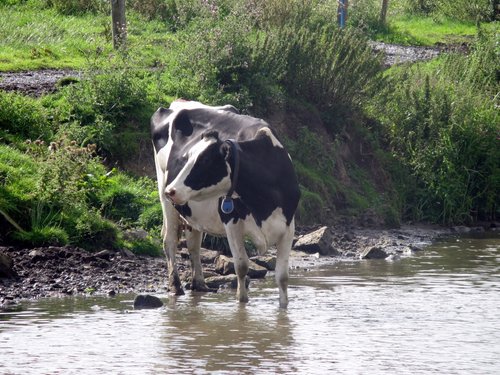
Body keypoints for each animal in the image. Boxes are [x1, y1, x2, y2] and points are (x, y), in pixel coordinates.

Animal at [151, 100, 300, 308]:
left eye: (205, 160)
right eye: (186, 157)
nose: (171, 190)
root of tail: (179, 102)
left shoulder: (288, 225)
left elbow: (282, 276)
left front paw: (283, 308)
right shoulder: (231, 220)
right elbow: (242, 266)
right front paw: (241, 302)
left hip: (191, 211)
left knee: (193, 243)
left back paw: (199, 284)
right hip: (165, 197)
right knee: (170, 240)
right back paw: (176, 286)